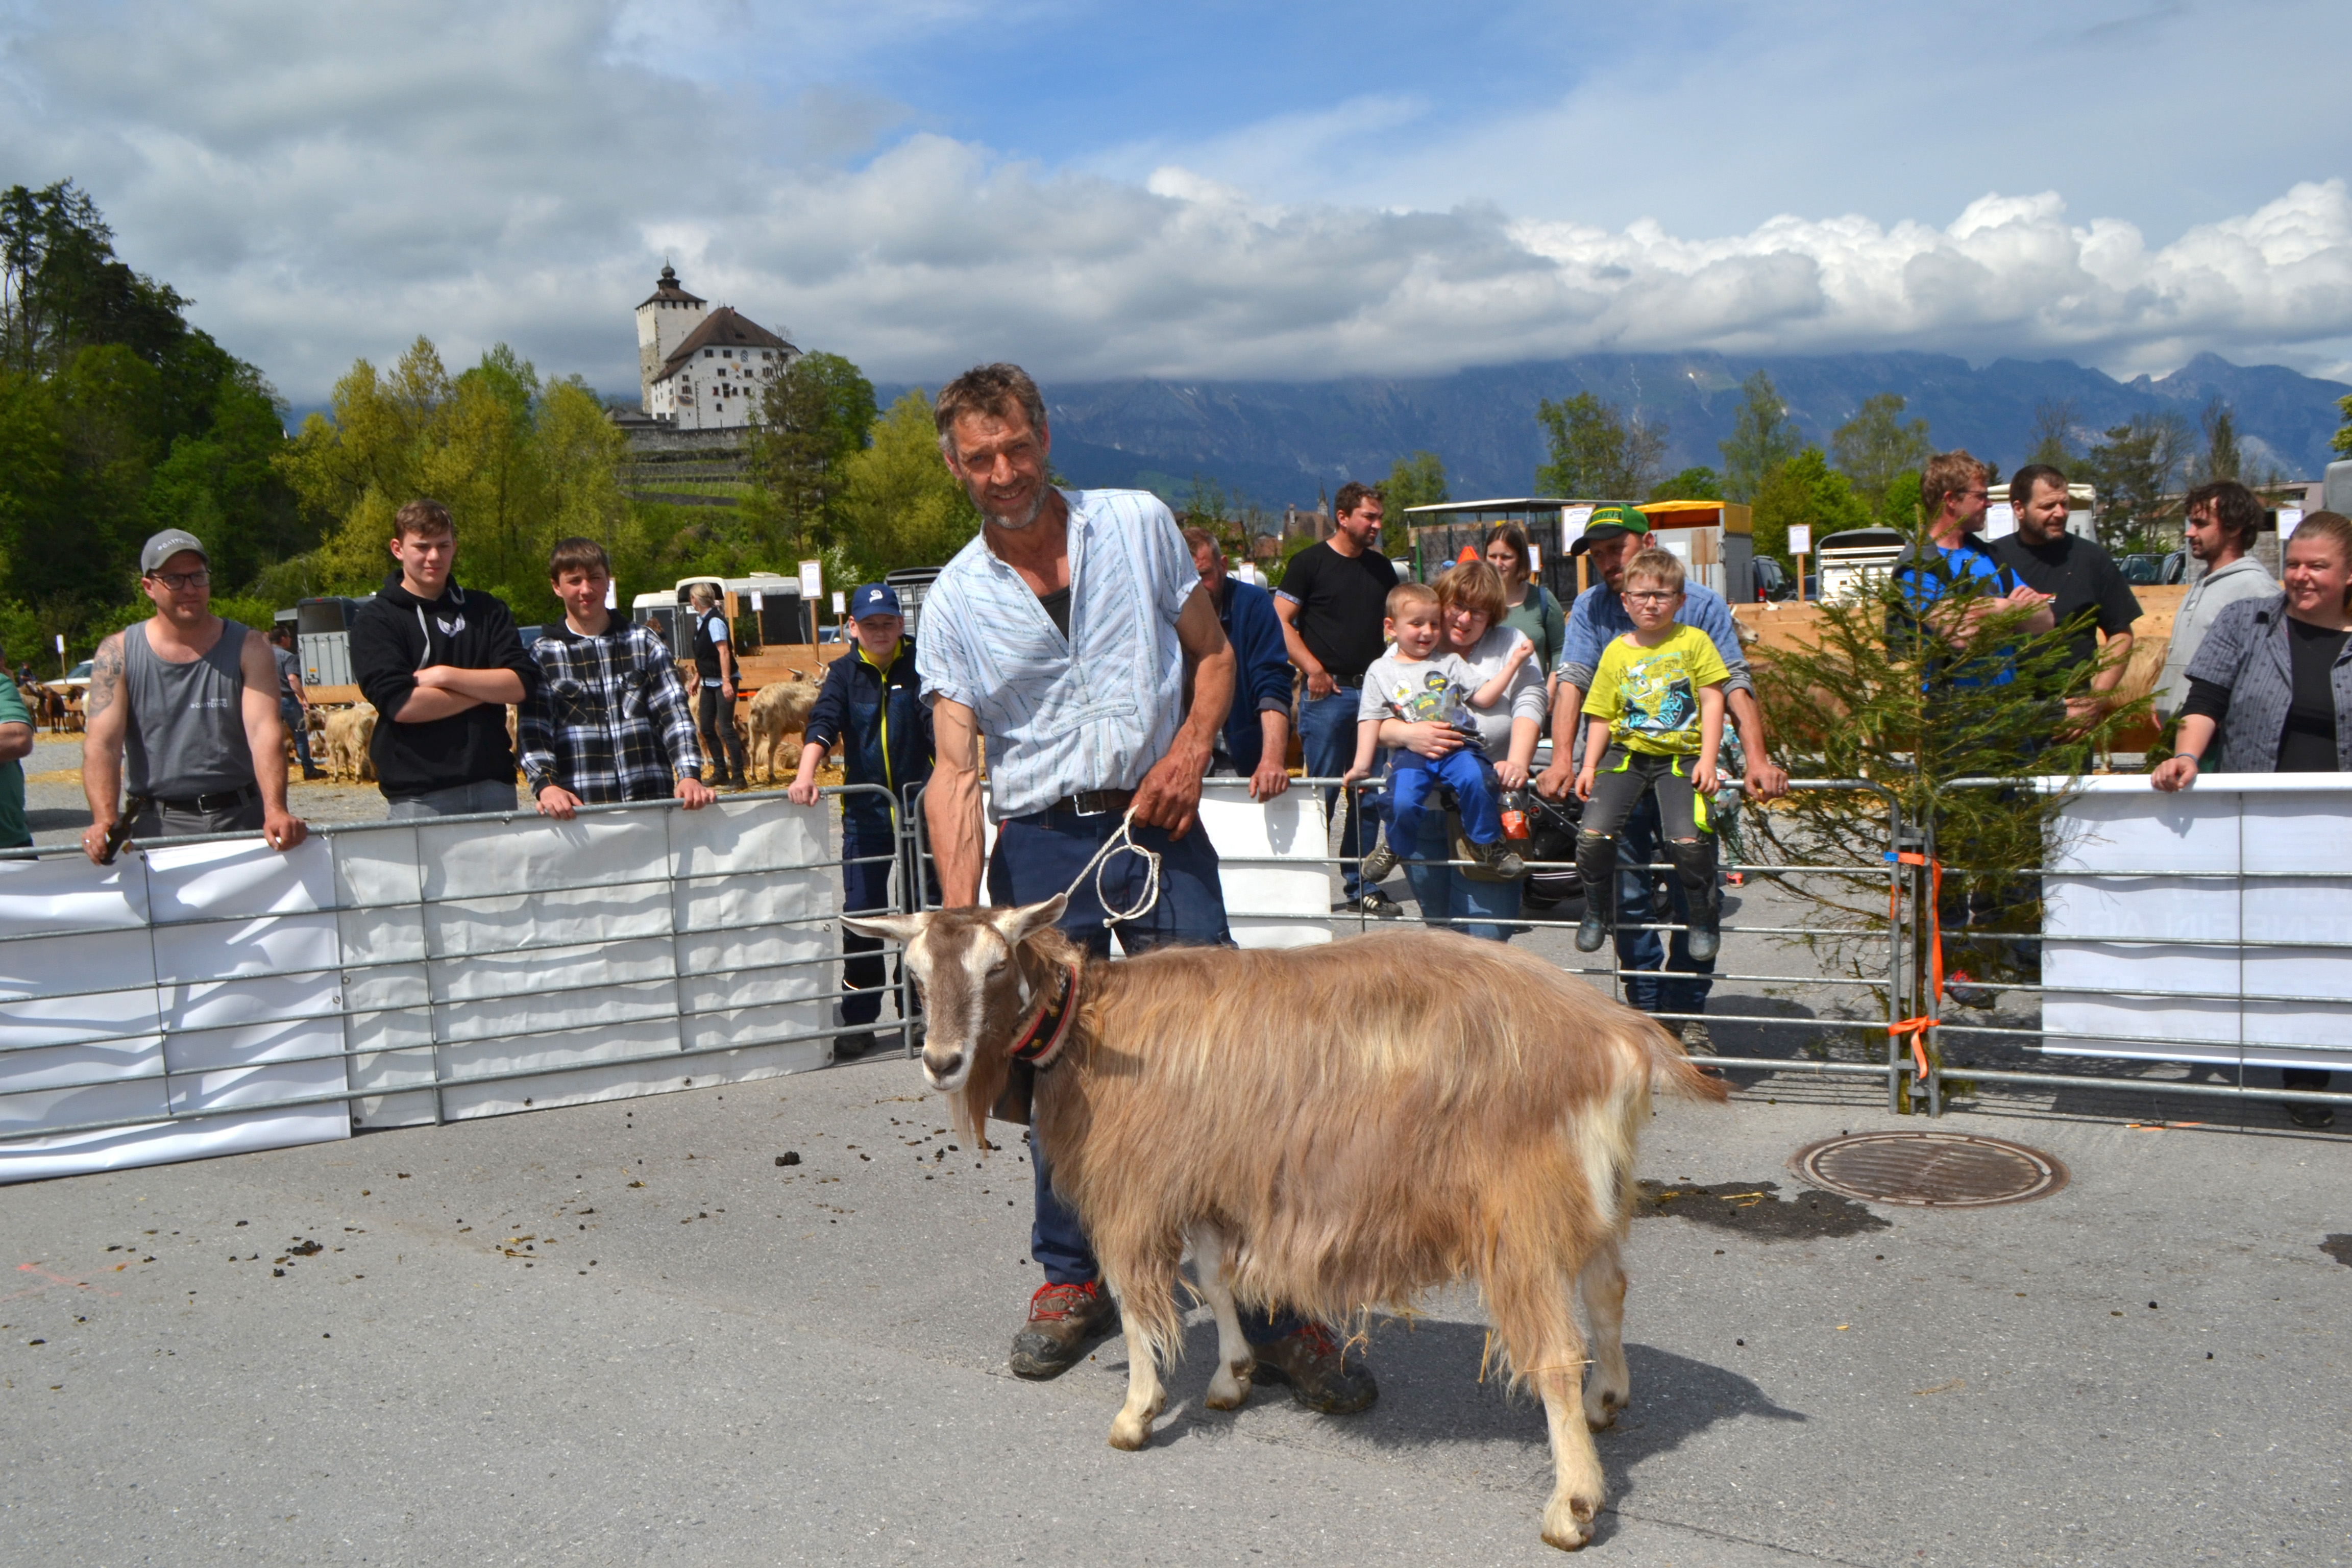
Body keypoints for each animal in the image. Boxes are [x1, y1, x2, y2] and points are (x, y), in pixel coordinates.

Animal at [846, 893, 1731, 1561]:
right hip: (1592, 1194)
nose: (941, 1062)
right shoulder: (1207, 1179)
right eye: (914, 974)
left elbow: (1138, 1305)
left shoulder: (1136, 1190)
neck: (1090, 1022)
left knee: (1552, 1350)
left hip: (1521, 1211)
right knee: (1609, 1290)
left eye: (997, 966)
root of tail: (1624, 1038)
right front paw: (1232, 1376)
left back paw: (1572, 1506)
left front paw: (1137, 1415)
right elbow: (1215, 1279)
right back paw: (1607, 1399)